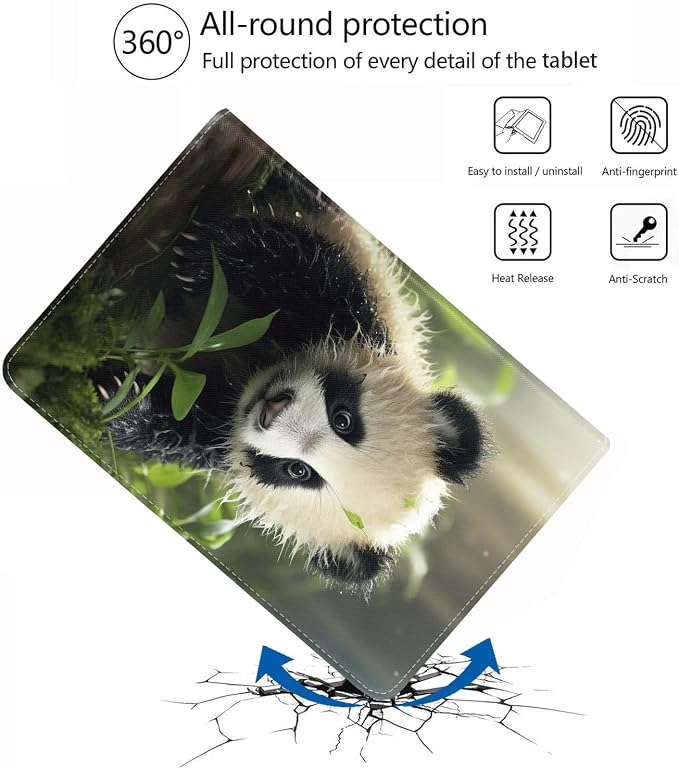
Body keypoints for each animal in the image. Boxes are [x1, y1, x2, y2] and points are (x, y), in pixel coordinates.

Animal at [100, 169, 487, 594]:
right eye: (343, 420)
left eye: (298, 472)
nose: (271, 410)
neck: (250, 368)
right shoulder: (363, 308)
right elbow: (299, 265)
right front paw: (203, 251)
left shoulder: (217, 441)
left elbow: (176, 426)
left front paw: (118, 400)